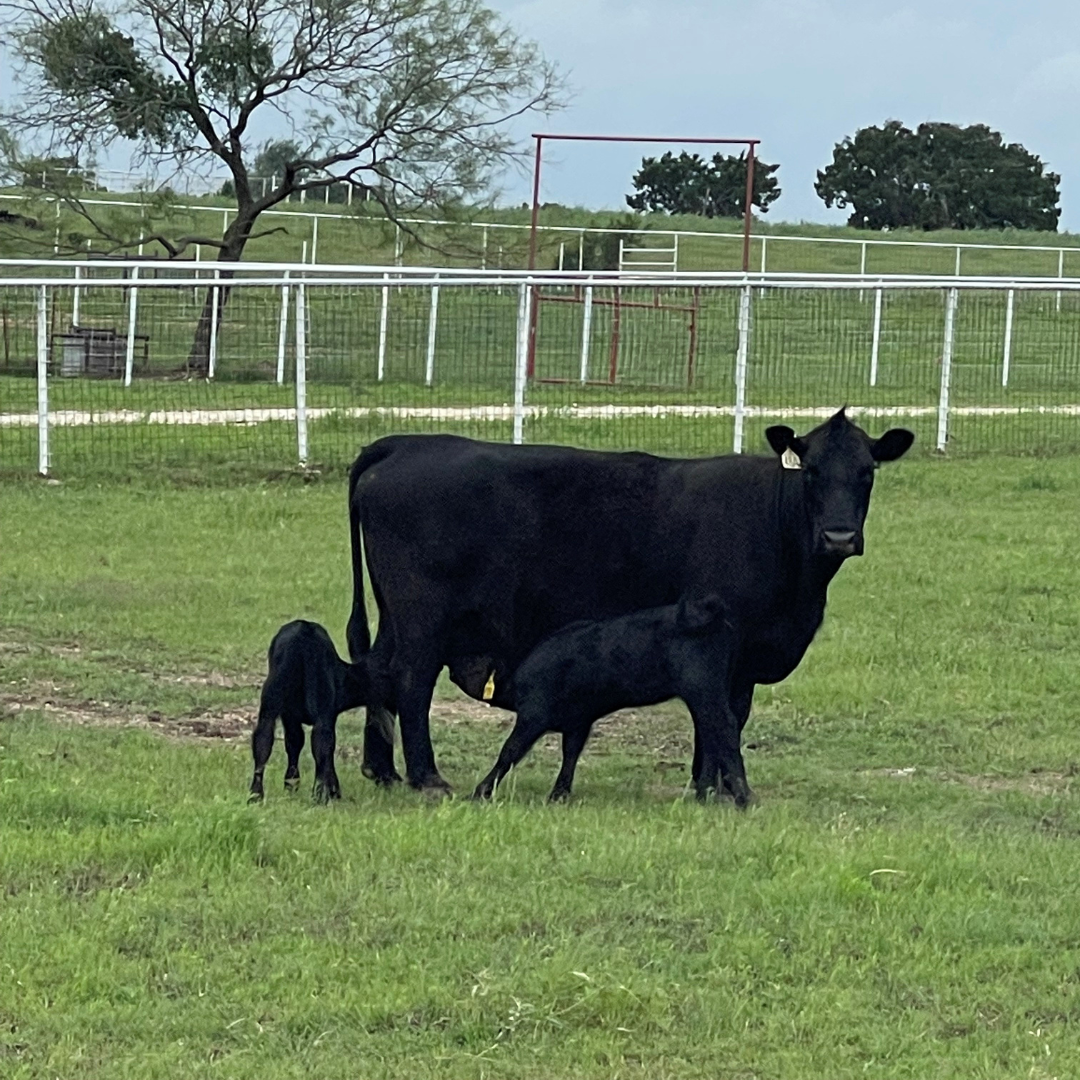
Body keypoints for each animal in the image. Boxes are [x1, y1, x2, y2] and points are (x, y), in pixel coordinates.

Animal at [248, 620, 368, 803]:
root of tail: (303, 630)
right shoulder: (325, 712)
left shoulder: (289, 714)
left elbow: (294, 741)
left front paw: (291, 785)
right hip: (321, 701)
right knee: (322, 742)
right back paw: (320, 795)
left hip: (272, 697)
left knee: (263, 736)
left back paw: (255, 795)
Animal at [473, 594, 730, 802]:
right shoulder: (578, 722)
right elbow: (570, 753)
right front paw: (559, 794)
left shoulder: (534, 713)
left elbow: (510, 750)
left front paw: (481, 792)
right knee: (714, 730)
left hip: (703, 689)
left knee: (719, 729)